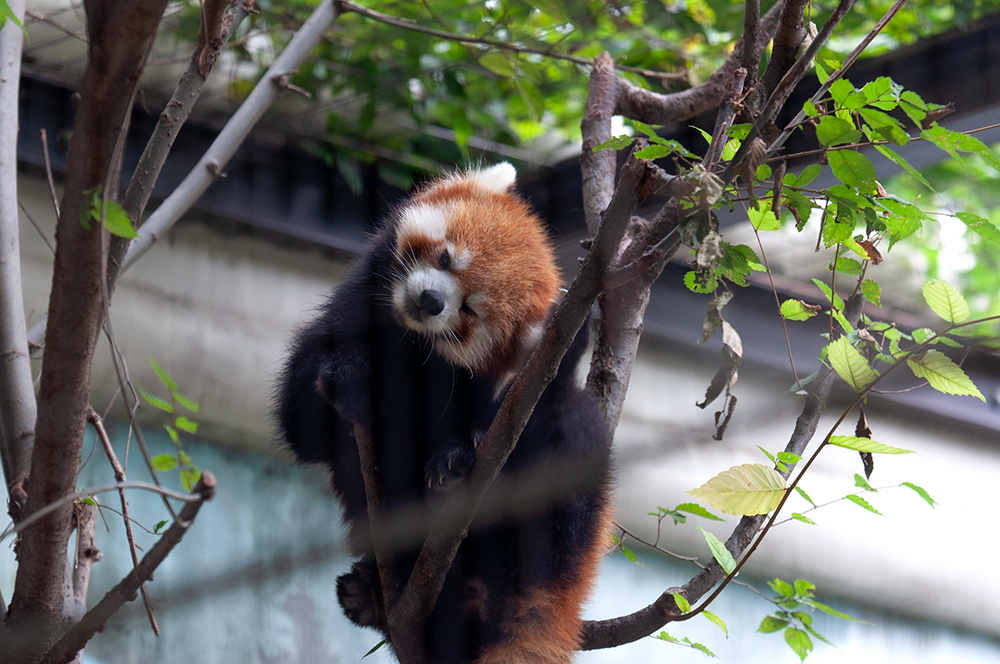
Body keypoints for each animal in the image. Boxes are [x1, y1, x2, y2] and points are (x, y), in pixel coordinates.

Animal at [278, 162, 612, 664]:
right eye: (446, 258)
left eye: (471, 310)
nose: (431, 301)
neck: (408, 344)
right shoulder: (349, 314)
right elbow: (305, 427)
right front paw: (347, 378)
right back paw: (373, 598)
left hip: (562, 524)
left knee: (569, 440)